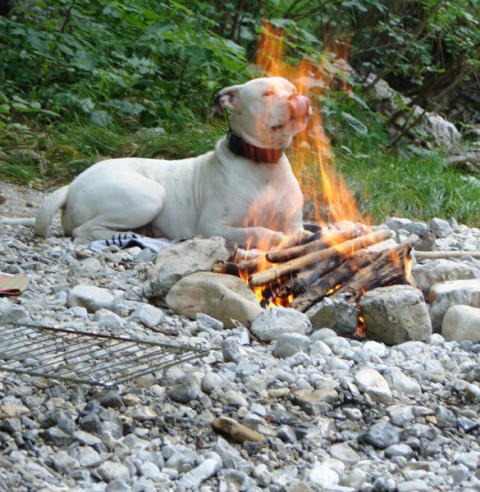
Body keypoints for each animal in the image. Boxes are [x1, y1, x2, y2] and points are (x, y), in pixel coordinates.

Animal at [6, 78, 312, 248]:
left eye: (293, 88)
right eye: (267, 94)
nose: (300, 98)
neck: (263, 165)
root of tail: (72, 186)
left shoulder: (295, 223)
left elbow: (297, 231)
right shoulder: (213, 227)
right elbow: (258, 230)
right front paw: (275, 238)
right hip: (148, 196)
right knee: (84, 231)